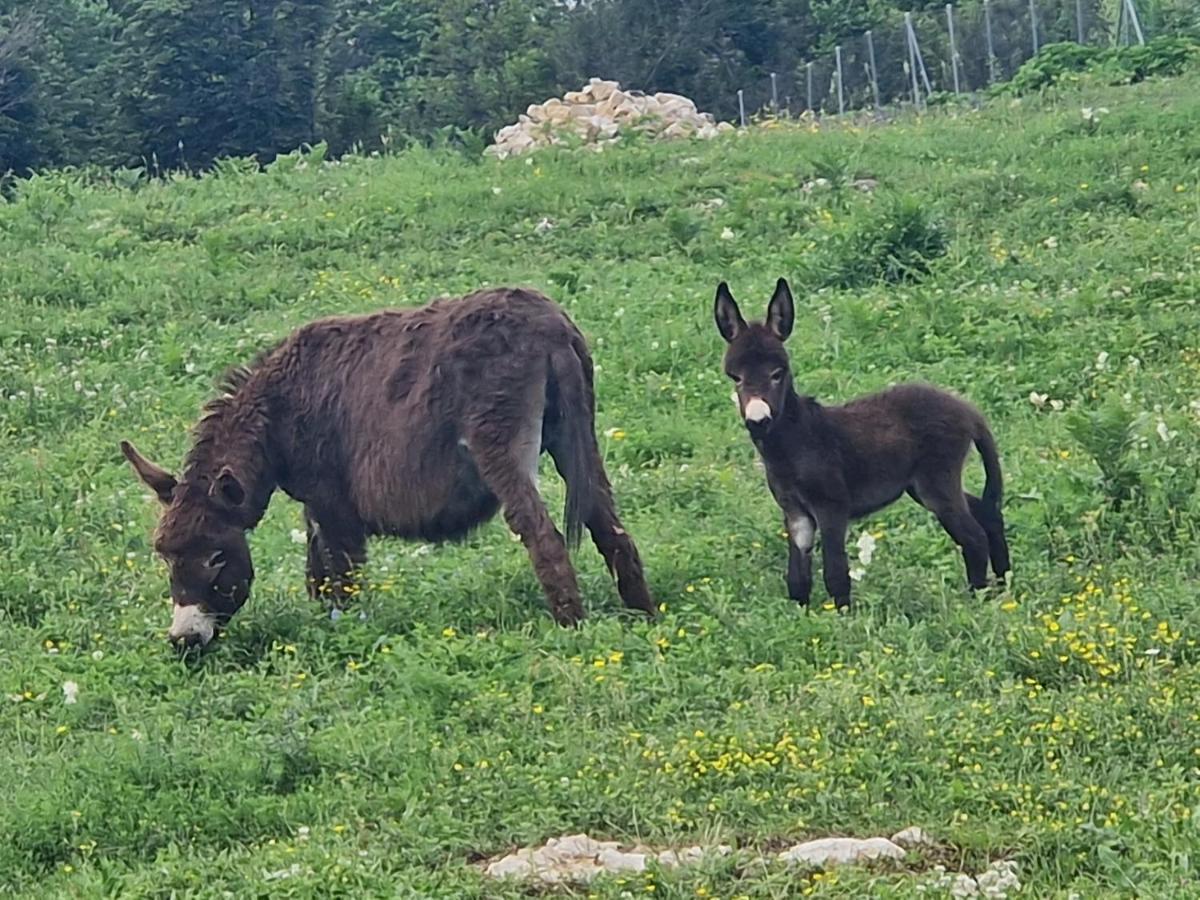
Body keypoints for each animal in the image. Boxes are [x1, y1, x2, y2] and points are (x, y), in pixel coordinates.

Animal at [715, 280, 1008, 614]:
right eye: (736, 378)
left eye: (778, 374)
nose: (758, 421)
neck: (793, 443)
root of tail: (967, 410)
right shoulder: (795, 512)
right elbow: (797, 577)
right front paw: (800, 616)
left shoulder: (831, 507)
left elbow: (835, 571)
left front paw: (843, 617)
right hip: (921, 487)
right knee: (986, 513)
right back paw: (1004, 585)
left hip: (937, 484)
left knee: (974, 537)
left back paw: (976, 601)